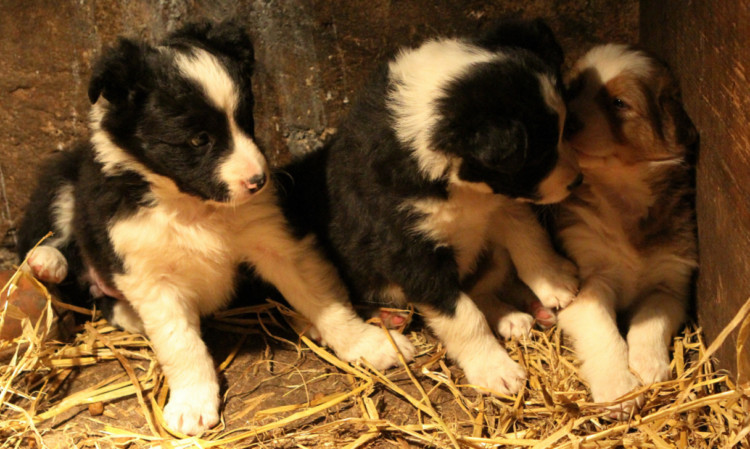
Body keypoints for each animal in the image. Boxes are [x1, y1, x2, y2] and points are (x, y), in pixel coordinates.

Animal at [16, 20, 418, 434]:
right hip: (62, 181)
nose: (259, 181)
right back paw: (47, 262)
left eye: (246, 119)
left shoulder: (276, 239)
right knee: (56, 247)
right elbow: (180, 344)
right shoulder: (146, 270)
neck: (192, 208)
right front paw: (192, 404)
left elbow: (326, 301)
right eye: (198, 139)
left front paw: (369, 345)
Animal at [284, 19, 584, 394]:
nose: (578, 181)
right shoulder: (411, 250)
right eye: (540, 156)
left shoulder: (499, 201)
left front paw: (555, 281)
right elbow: (464, 316)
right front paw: (494, 370)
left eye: (564, 131)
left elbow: (528, 236)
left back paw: (518, 315)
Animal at [556, 43, 704, 418]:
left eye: (619, 103)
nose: (566, 123)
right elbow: (602, 328)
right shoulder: (588, 283)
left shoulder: (670, 284)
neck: (623, 195)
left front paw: (648, 367)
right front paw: (618, 389)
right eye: (572, 90)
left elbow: (649, 321)